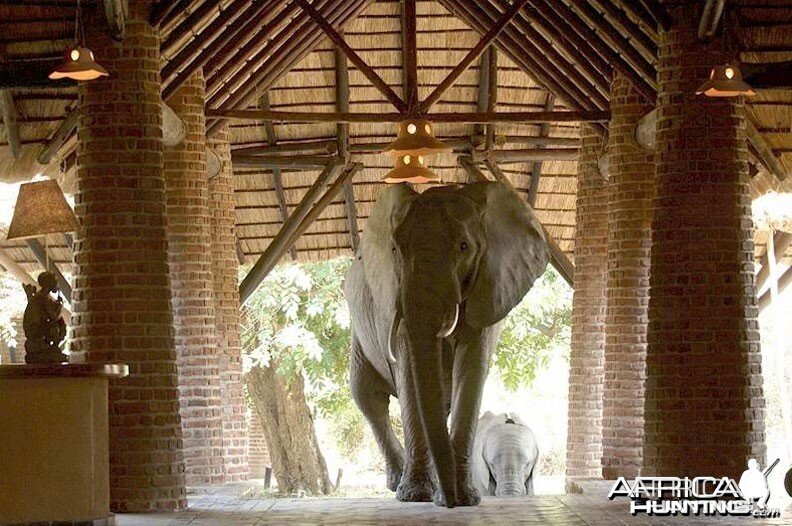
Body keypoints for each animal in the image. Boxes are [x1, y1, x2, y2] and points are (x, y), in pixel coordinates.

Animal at [344, 180, 548, 508]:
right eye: (394, 250)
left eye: (464, 247)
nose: (449, 502)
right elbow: (408, 373)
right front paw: (415, 497)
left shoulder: (490, 284)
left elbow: (472, 366)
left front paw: (464, 499)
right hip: (360, 334)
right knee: (367, 395)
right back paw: (398, 482)